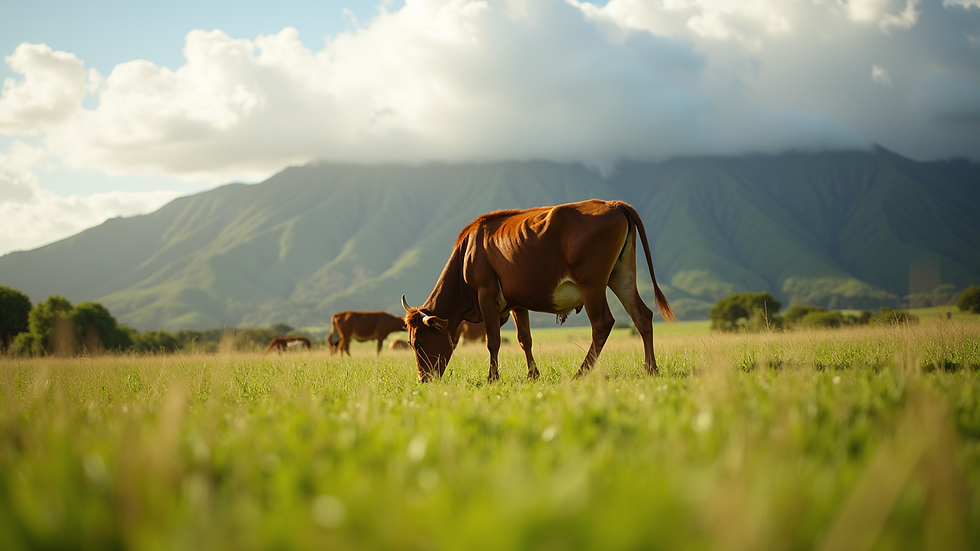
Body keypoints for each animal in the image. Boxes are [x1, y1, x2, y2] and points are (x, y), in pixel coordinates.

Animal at [401, 199, 674, 382]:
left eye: (418, 343)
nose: (422, 380)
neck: (467, 254)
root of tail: (613, 204)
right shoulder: (516, 302)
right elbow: (525, 339)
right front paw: (532, 374)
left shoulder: (486, 294)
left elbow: (493, 340)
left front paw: (492, 378)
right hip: (621, 275)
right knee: (642, 315)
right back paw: (651, 368)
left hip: (592, 283)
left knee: (602, 323)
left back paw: (581, 372)